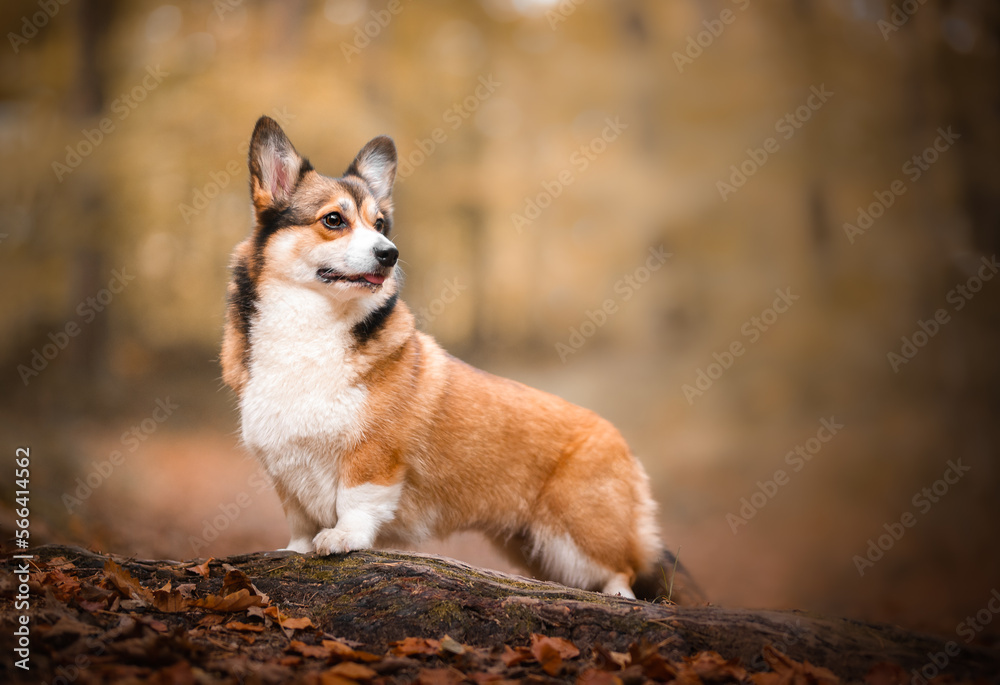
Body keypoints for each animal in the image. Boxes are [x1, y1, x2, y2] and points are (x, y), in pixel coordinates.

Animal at [222, 117, 700, 604]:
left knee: (621, 572)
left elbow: (356, 503)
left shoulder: (373, 457)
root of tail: (621, 442)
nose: (389, 253)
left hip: (578, 537)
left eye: (380, 224)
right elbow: (299, 524)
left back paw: (618, 598)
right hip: (536, 549)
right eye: (333, 220)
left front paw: (342, 538)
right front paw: (296, 551)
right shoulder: (285, 473)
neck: (312, 325)